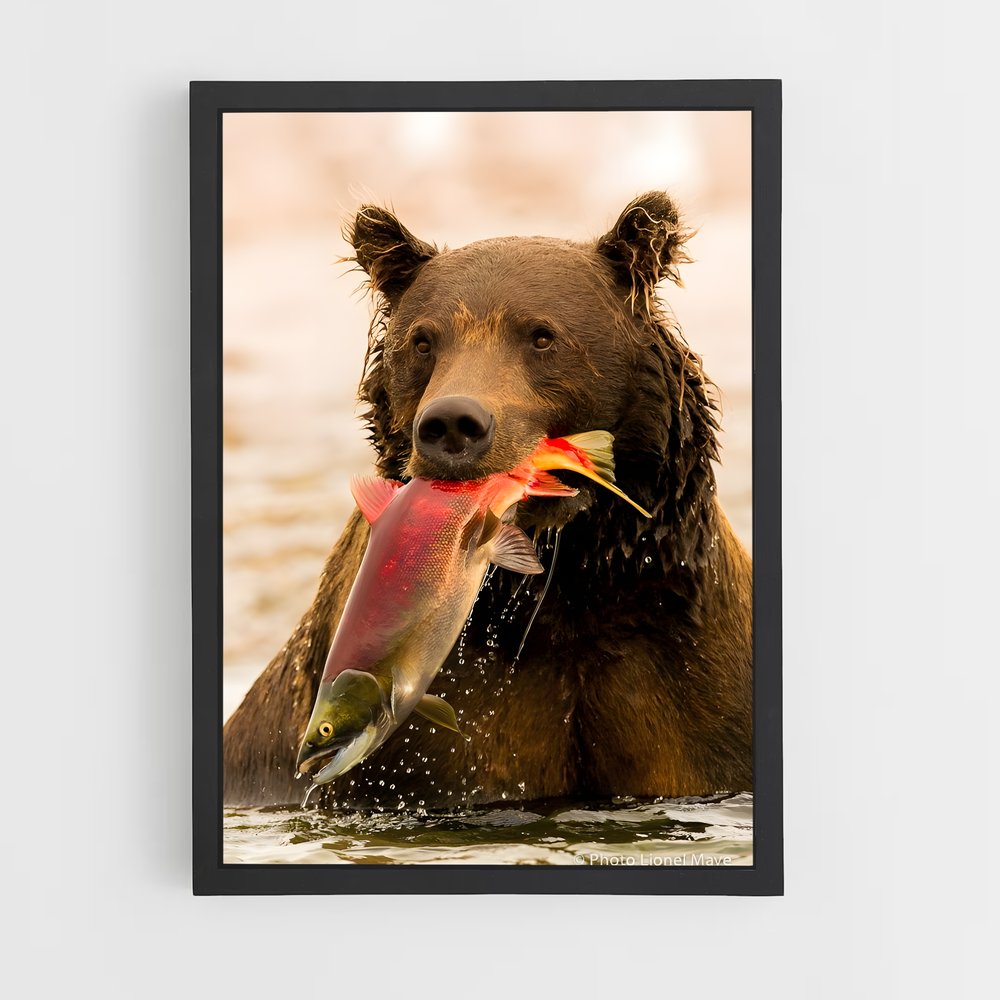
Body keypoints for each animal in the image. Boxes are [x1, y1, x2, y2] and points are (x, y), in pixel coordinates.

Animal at [223, 192, 752, 809]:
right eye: (423, 340)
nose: (452, 423)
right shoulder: (448, 715)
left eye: (542, 335)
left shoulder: (684, 670)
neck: (570, 586)